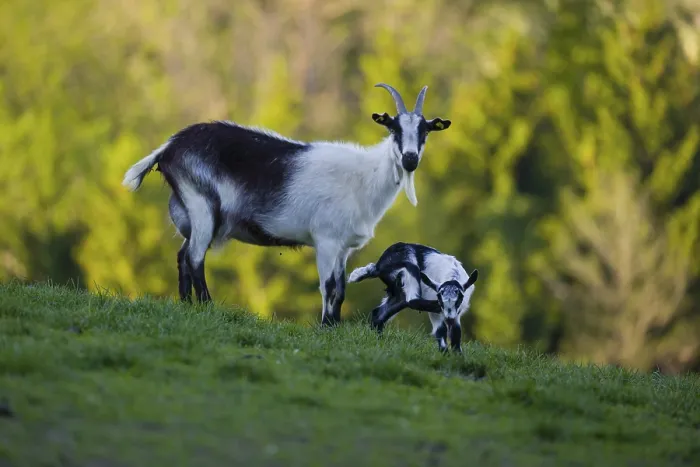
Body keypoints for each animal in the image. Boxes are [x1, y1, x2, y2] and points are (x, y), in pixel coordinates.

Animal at [122, 83, 452, 326]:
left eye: (425, 131)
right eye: (394, 128)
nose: (410, 159)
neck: (365, 177)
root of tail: (169, 148)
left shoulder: (343, 247)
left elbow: (341, 290)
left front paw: (335, 326)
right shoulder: (326, 239)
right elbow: (328, 286)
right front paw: (325, 327)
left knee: (182, 255)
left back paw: (186, 305)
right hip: (202, 205)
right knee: (194, 258)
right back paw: (206, 306)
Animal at [348, 242, 478, 352]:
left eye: (459, 300)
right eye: (440, 300)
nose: (448, 315)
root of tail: (378, 266)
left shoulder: (457, 313)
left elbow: (456, 334)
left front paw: (457, 356)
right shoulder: (437, 312)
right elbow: (441, 330)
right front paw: (444, 353)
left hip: (399, 294)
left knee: (379, 313)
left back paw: (378, 339)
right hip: (408, 265)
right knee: (412, 299)